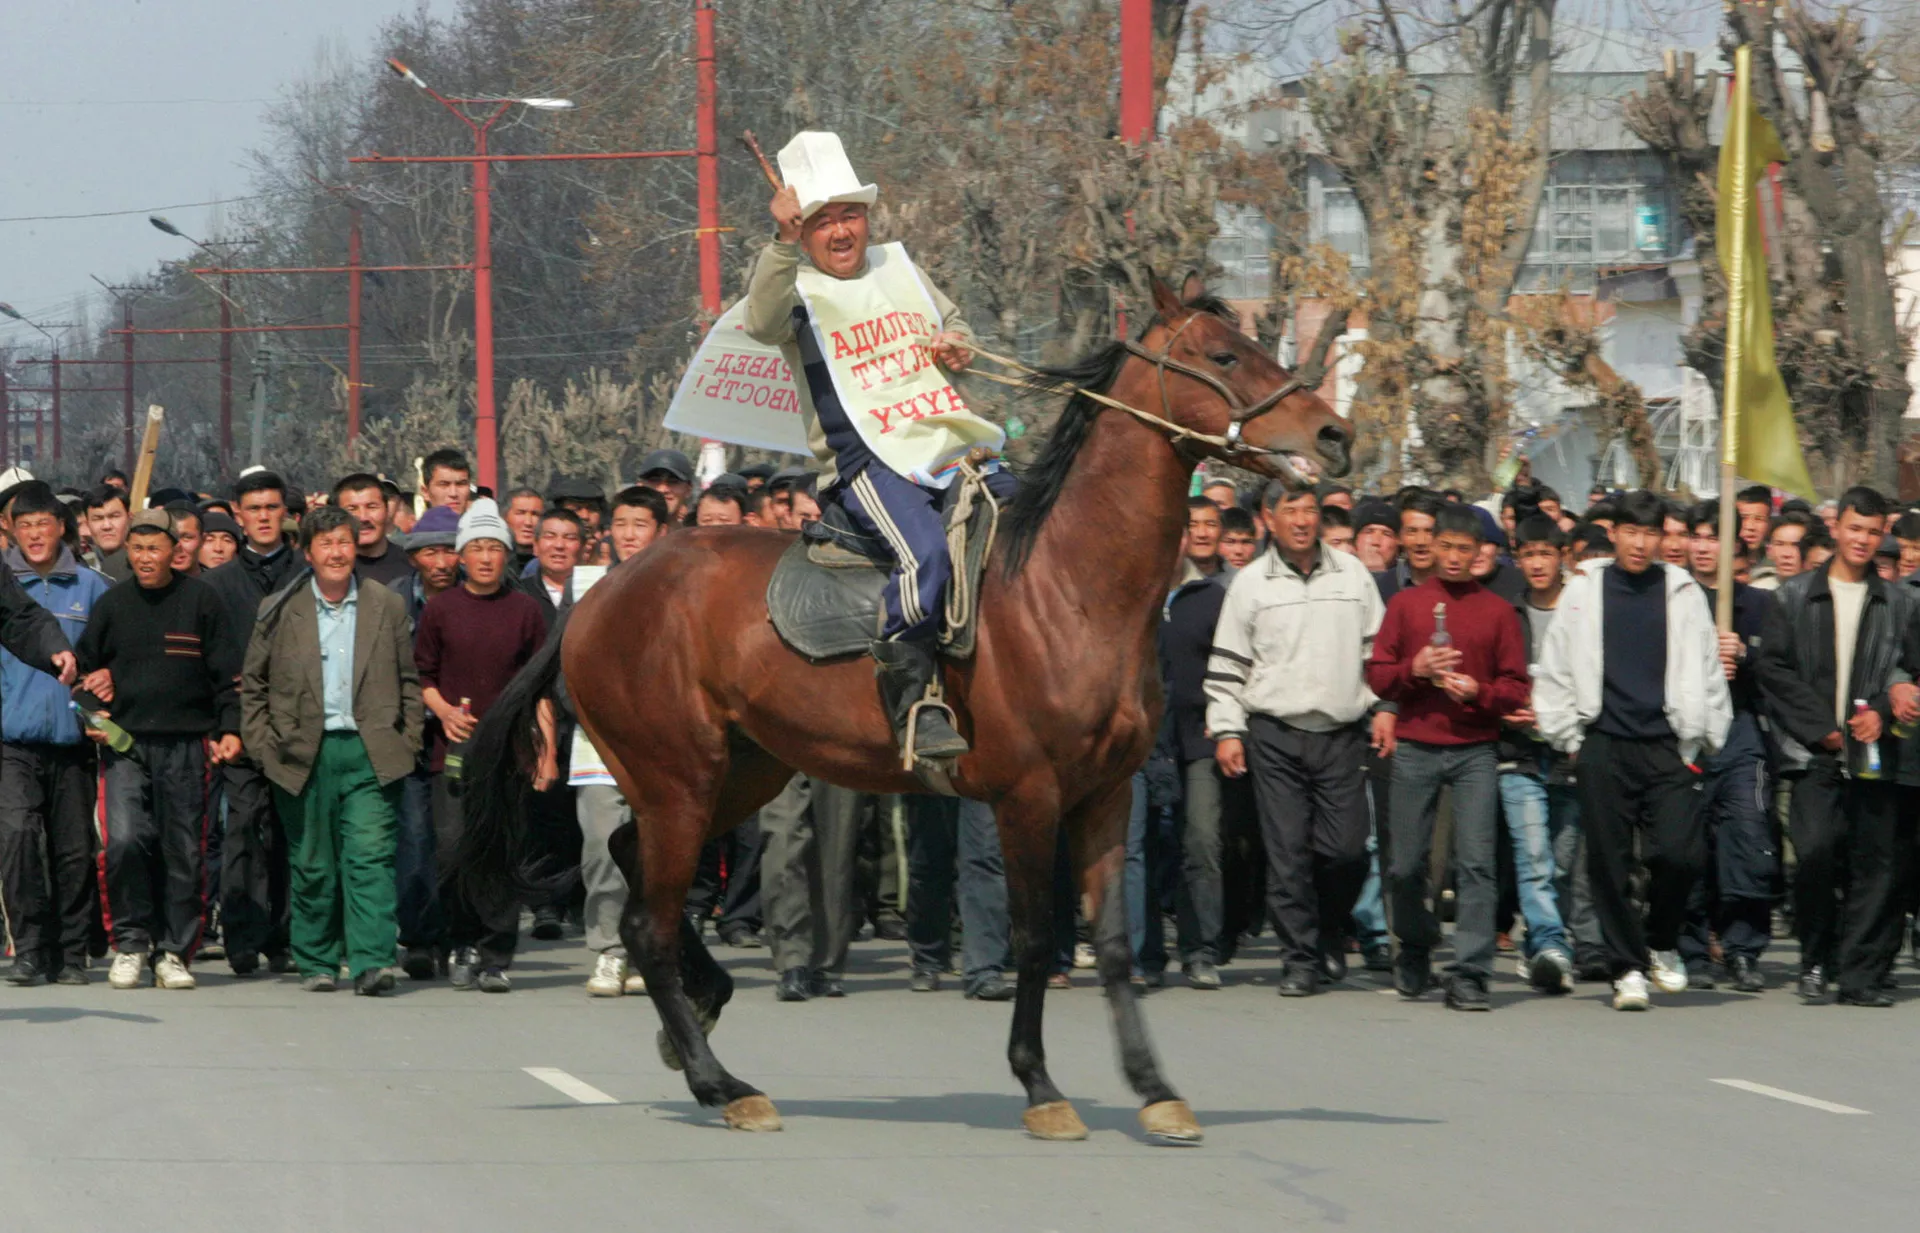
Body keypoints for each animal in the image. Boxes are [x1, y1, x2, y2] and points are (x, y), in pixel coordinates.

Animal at [457, 271, 1353, 1143]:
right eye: (1224, 355)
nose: (1335, 435)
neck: (1069, 585)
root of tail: (599, 590)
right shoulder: (1028, 797)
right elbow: (1034, 939)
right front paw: (1040, 1083)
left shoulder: (1106, 794)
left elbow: (1113, 944)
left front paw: (1156, 1089)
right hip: (681, 776)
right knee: (648, 914)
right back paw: (723, 1082)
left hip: (738, 770)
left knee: (634, 860)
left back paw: (702, 1017)